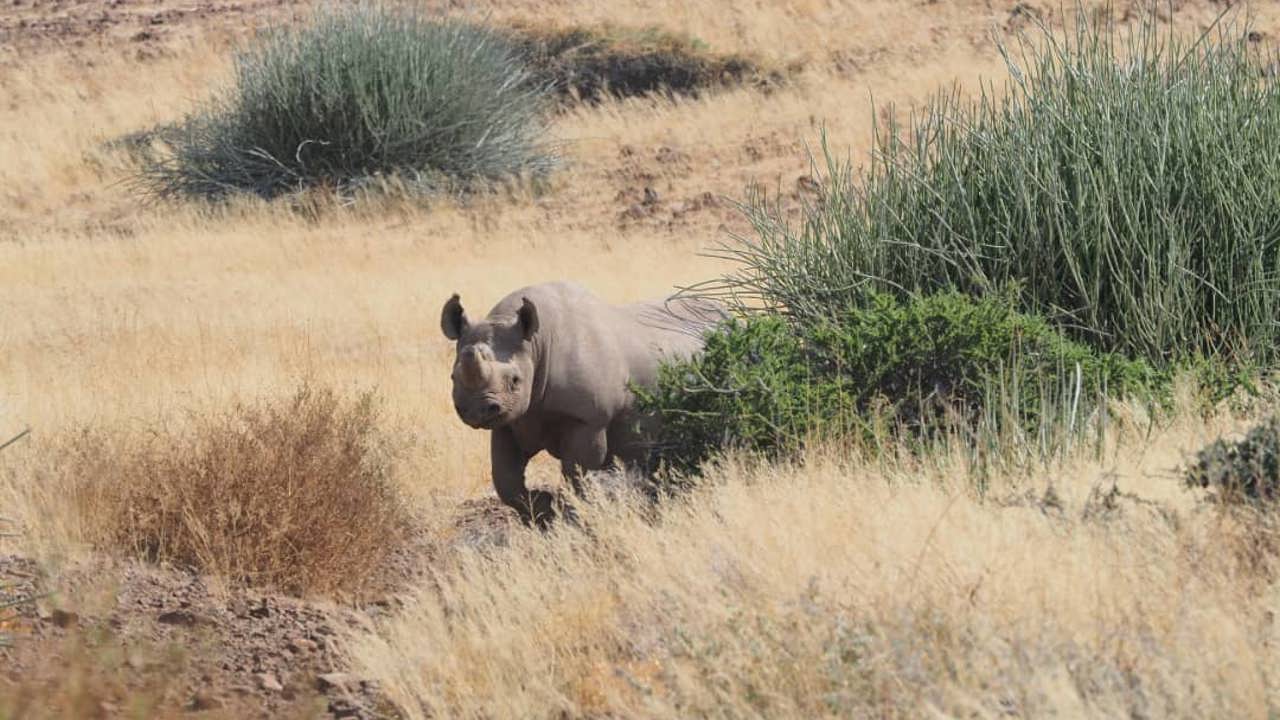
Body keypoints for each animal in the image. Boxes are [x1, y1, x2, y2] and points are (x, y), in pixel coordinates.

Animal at [440, 281, 725, 525]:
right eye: (453, 377)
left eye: (515, 380)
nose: (477, 411)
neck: (535, 345)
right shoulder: (511, 420)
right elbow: (505, 479)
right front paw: (543, 513)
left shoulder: (587, 420)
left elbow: (578, 475)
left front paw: (573, 519)